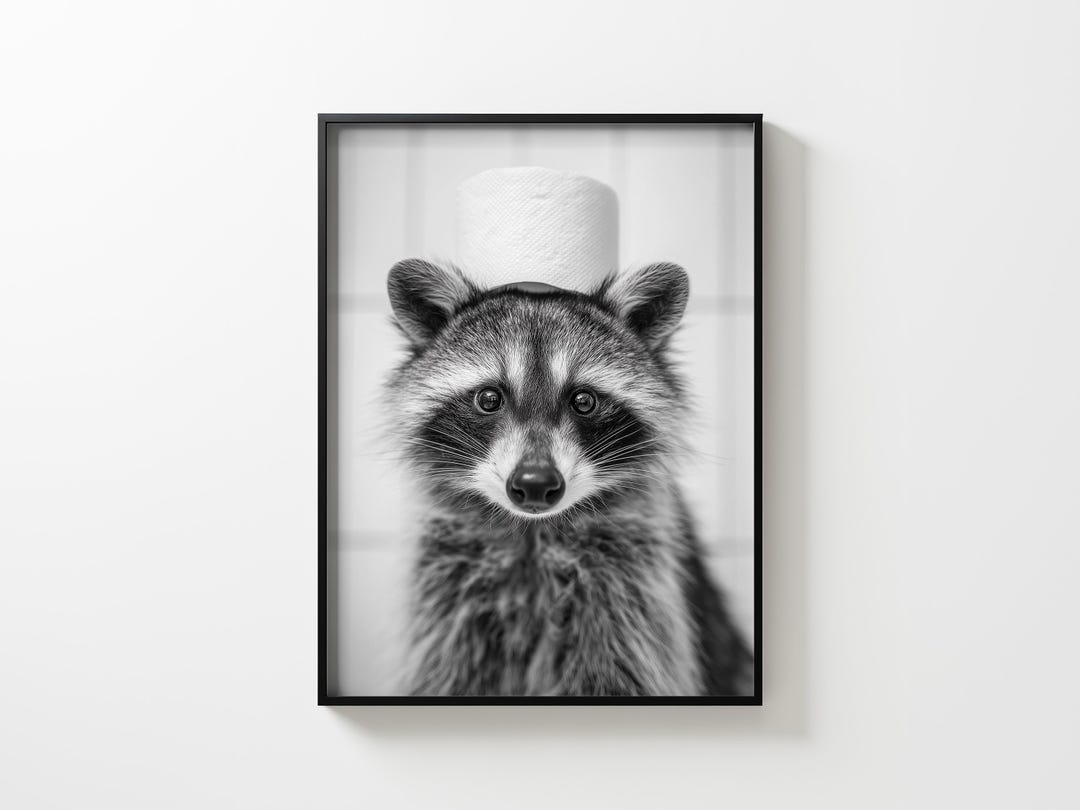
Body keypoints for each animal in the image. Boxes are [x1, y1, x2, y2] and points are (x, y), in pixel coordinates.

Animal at [383, 258, 753, 697]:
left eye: (584, 400)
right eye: (489, 399)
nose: (535, 485)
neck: (532, 531)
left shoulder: (632, 590)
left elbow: (621, 674)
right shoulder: (445, 588)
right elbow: (446, 673)